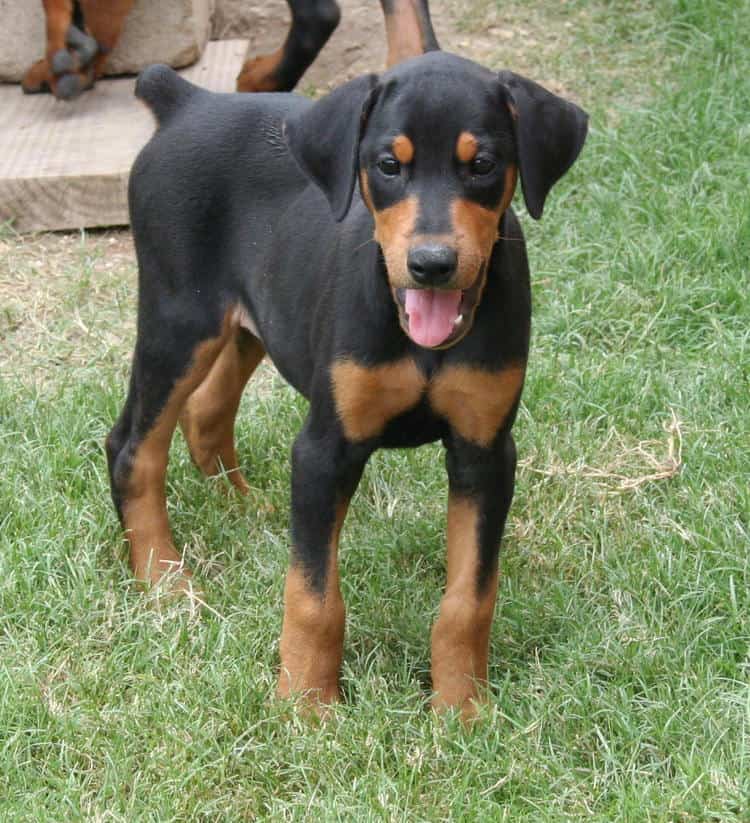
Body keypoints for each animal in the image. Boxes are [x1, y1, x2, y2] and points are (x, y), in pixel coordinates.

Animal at [107, 53, 588, 720]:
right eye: (388, 165)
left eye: (483, 165)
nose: (432, 265)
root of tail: (188, 99)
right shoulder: (325, 448)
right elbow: (313, 596)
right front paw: (307, 706)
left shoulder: (485, 451)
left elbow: (469, 600)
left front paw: (462, 710)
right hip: (180, 317)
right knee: (133, 448)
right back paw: (164, 579)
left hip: (256, 318)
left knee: (205, 411)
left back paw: (244, 506)